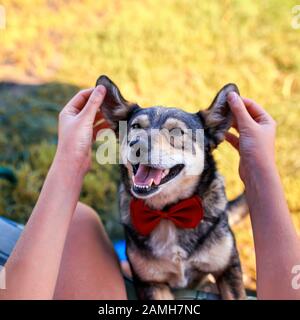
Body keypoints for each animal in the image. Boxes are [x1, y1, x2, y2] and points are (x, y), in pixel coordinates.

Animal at [95, 75, 246, 300]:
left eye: (176, 131)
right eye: (135, 126)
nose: (137, 145)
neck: (168, 212)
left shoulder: (228, 269)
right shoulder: (152, 283)